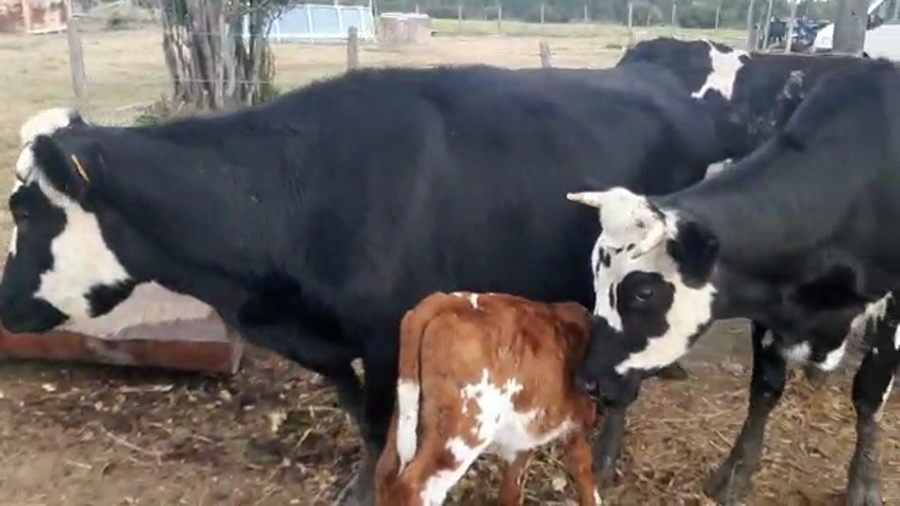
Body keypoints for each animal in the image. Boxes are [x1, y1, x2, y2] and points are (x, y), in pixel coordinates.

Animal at [374, 291, 598, 506]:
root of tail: (448, 299)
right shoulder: (578, 423)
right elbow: (584, 471)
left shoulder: (520, 437)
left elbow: (511, 487)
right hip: (462, 432)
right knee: (414, 487)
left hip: (408, 412)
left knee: (385, 471)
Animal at [566, 57, 899, 505]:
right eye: (598, 282)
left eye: (644, 292)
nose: (587, 382)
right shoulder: (768, 299)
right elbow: (765, 388)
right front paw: (736, 472)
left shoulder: (893, 306)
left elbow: (868, 394)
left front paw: (863, 483)